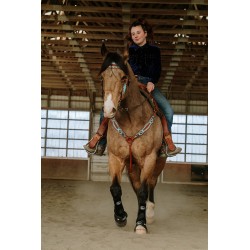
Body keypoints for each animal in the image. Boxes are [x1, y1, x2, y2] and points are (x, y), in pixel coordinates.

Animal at [98, 43, 167, 234]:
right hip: (133, 167)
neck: (131, 119)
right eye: (102, 78)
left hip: (158, 162)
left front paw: (141, 224)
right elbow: (115, 188)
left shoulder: (149, 158)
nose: (109, 110)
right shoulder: (115, 157)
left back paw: (149, 212)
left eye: (123, 77)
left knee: (150, 183)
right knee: (137, 187)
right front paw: (120, 217)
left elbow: (144, 190)